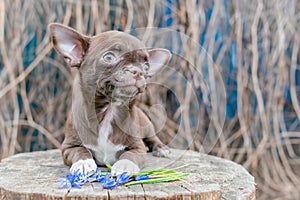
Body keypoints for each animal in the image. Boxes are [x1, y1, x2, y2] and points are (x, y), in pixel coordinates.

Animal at [49, 22, 171, 174]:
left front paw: (125, 165)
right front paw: (83, 162)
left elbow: (130, 155)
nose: (137, 71)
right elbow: (80, 151)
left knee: (153, 138)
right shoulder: (68, 147)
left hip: (146, 125)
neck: (109, 111)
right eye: (109, 57)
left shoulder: (138, 148)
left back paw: (161, 148)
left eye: (146, 66)